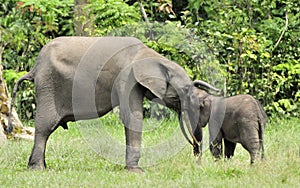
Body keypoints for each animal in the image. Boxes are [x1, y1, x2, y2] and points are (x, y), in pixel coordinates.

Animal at [7, 37, 218, 173]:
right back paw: (38, 169)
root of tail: (34, 69)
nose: (198, 162)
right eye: (185, 90)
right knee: (45, 126)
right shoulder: (126, 79)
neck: (151, 55)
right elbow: (133, 116)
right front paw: (136, 172)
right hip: (48, 86)